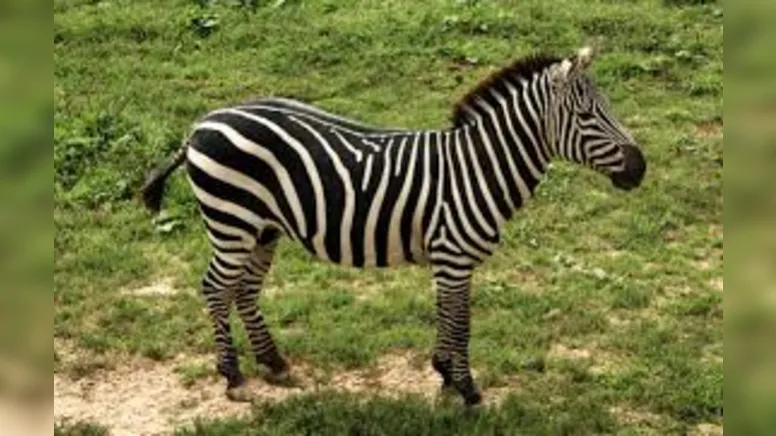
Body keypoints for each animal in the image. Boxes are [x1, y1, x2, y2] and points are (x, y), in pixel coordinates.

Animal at [139, 44, 646, 406]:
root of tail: (201, 125)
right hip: (233, 220)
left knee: (242, 290)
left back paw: (274, 362)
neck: (478, 168)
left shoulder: (451, 260)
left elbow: (450, 316)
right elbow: (461, 322)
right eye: (587, 115)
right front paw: (466, 388)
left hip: (263, 228)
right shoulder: (454, 256)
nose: (640, 168)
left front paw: (444, 373)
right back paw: (233, 376)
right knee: (215, 288)